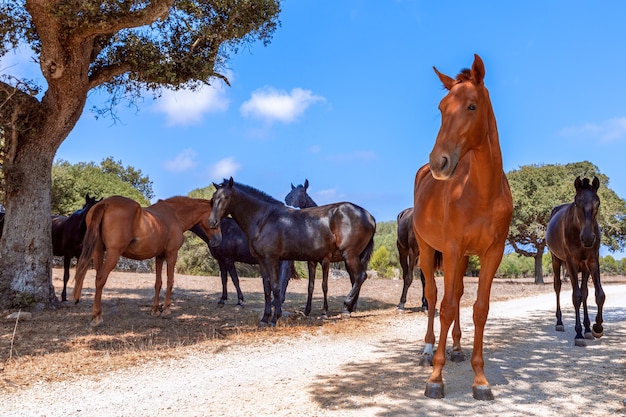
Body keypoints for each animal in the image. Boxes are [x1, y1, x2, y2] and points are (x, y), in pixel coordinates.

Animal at [72, 193, 222, 326]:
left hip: (98, 251)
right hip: (113, 253)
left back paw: (97, 315)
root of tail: (106, 203)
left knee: (98, 278)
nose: (218, 240)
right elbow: (170, 281)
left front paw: (155, 310)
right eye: (216, 219)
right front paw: (166, 309)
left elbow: (158, 283)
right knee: (101, 278)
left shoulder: (159, 256)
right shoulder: (172, 254)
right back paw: (96, 317)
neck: (175, 216)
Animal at [210, 177, 376, 326]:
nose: (212, 222)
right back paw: (349, 308)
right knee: (356, 278)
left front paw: (274, 318)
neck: (264, 219)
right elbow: (267, 288)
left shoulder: (273, 259)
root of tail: (369, 216)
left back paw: (345, 308)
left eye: (226, 197)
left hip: (350, 255)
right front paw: (265, 318)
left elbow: (276, 287)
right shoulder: (262, 260)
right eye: (213, 199)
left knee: (360, 276)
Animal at [410, 53, 512, 398]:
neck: (481, 191)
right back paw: (428, 351)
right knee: (433, 294)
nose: (439, 162)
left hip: (464, 256)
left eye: (471, 106)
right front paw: (435, 379)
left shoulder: (491, 253)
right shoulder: (452, 249)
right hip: (427, 250)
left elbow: (479, 309)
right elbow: (446, 306)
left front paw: (480, 380)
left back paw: (455, 348)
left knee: (456, 293)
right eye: (442, 108)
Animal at [544, 177, 604, 346]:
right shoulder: (571, 261)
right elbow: (576, 296)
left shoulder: (592, 261)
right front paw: (579, 334)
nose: (588, 238)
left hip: (583, 267)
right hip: (556, 260)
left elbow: (598, 294)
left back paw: (588, 328)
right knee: (557, 287)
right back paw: (559, 322)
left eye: (597, 203)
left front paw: (595, 328)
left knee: (585, 292)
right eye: (577, 202)